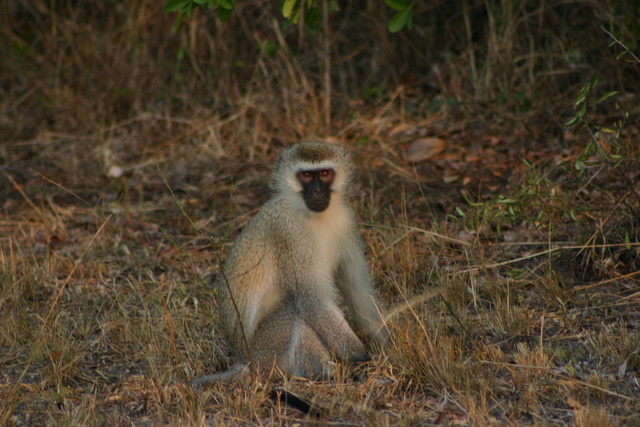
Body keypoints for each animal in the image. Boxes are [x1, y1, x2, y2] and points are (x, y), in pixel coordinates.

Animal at [192, 142, 388, 386]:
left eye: (325, 173)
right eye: (306, 175)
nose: (317, 191)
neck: (315, 217)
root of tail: (244, 361)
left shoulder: (348, 220)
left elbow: (358, 291)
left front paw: (391, 345)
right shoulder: (290, 232)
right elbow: (313, 301)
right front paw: (362, 360)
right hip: (266, 354)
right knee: (296, 312)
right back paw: (324, 375)